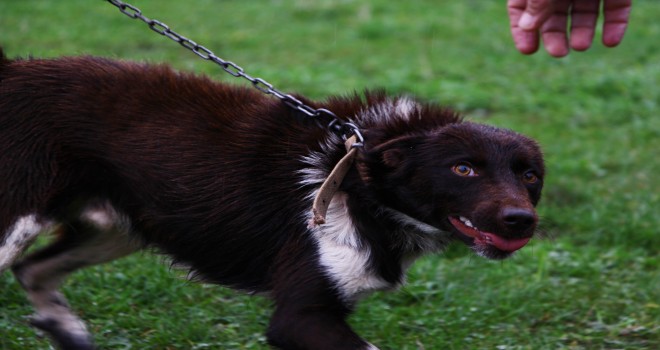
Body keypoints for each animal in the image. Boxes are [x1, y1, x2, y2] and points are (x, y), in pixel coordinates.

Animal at [0, 47, 544, 350]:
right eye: (463, 168)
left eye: (530, 175)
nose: (521, 219)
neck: (357, 177)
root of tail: (11, 70)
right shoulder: (299, 316)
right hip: (18, 219)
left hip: (115, 228)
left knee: (33, 270)